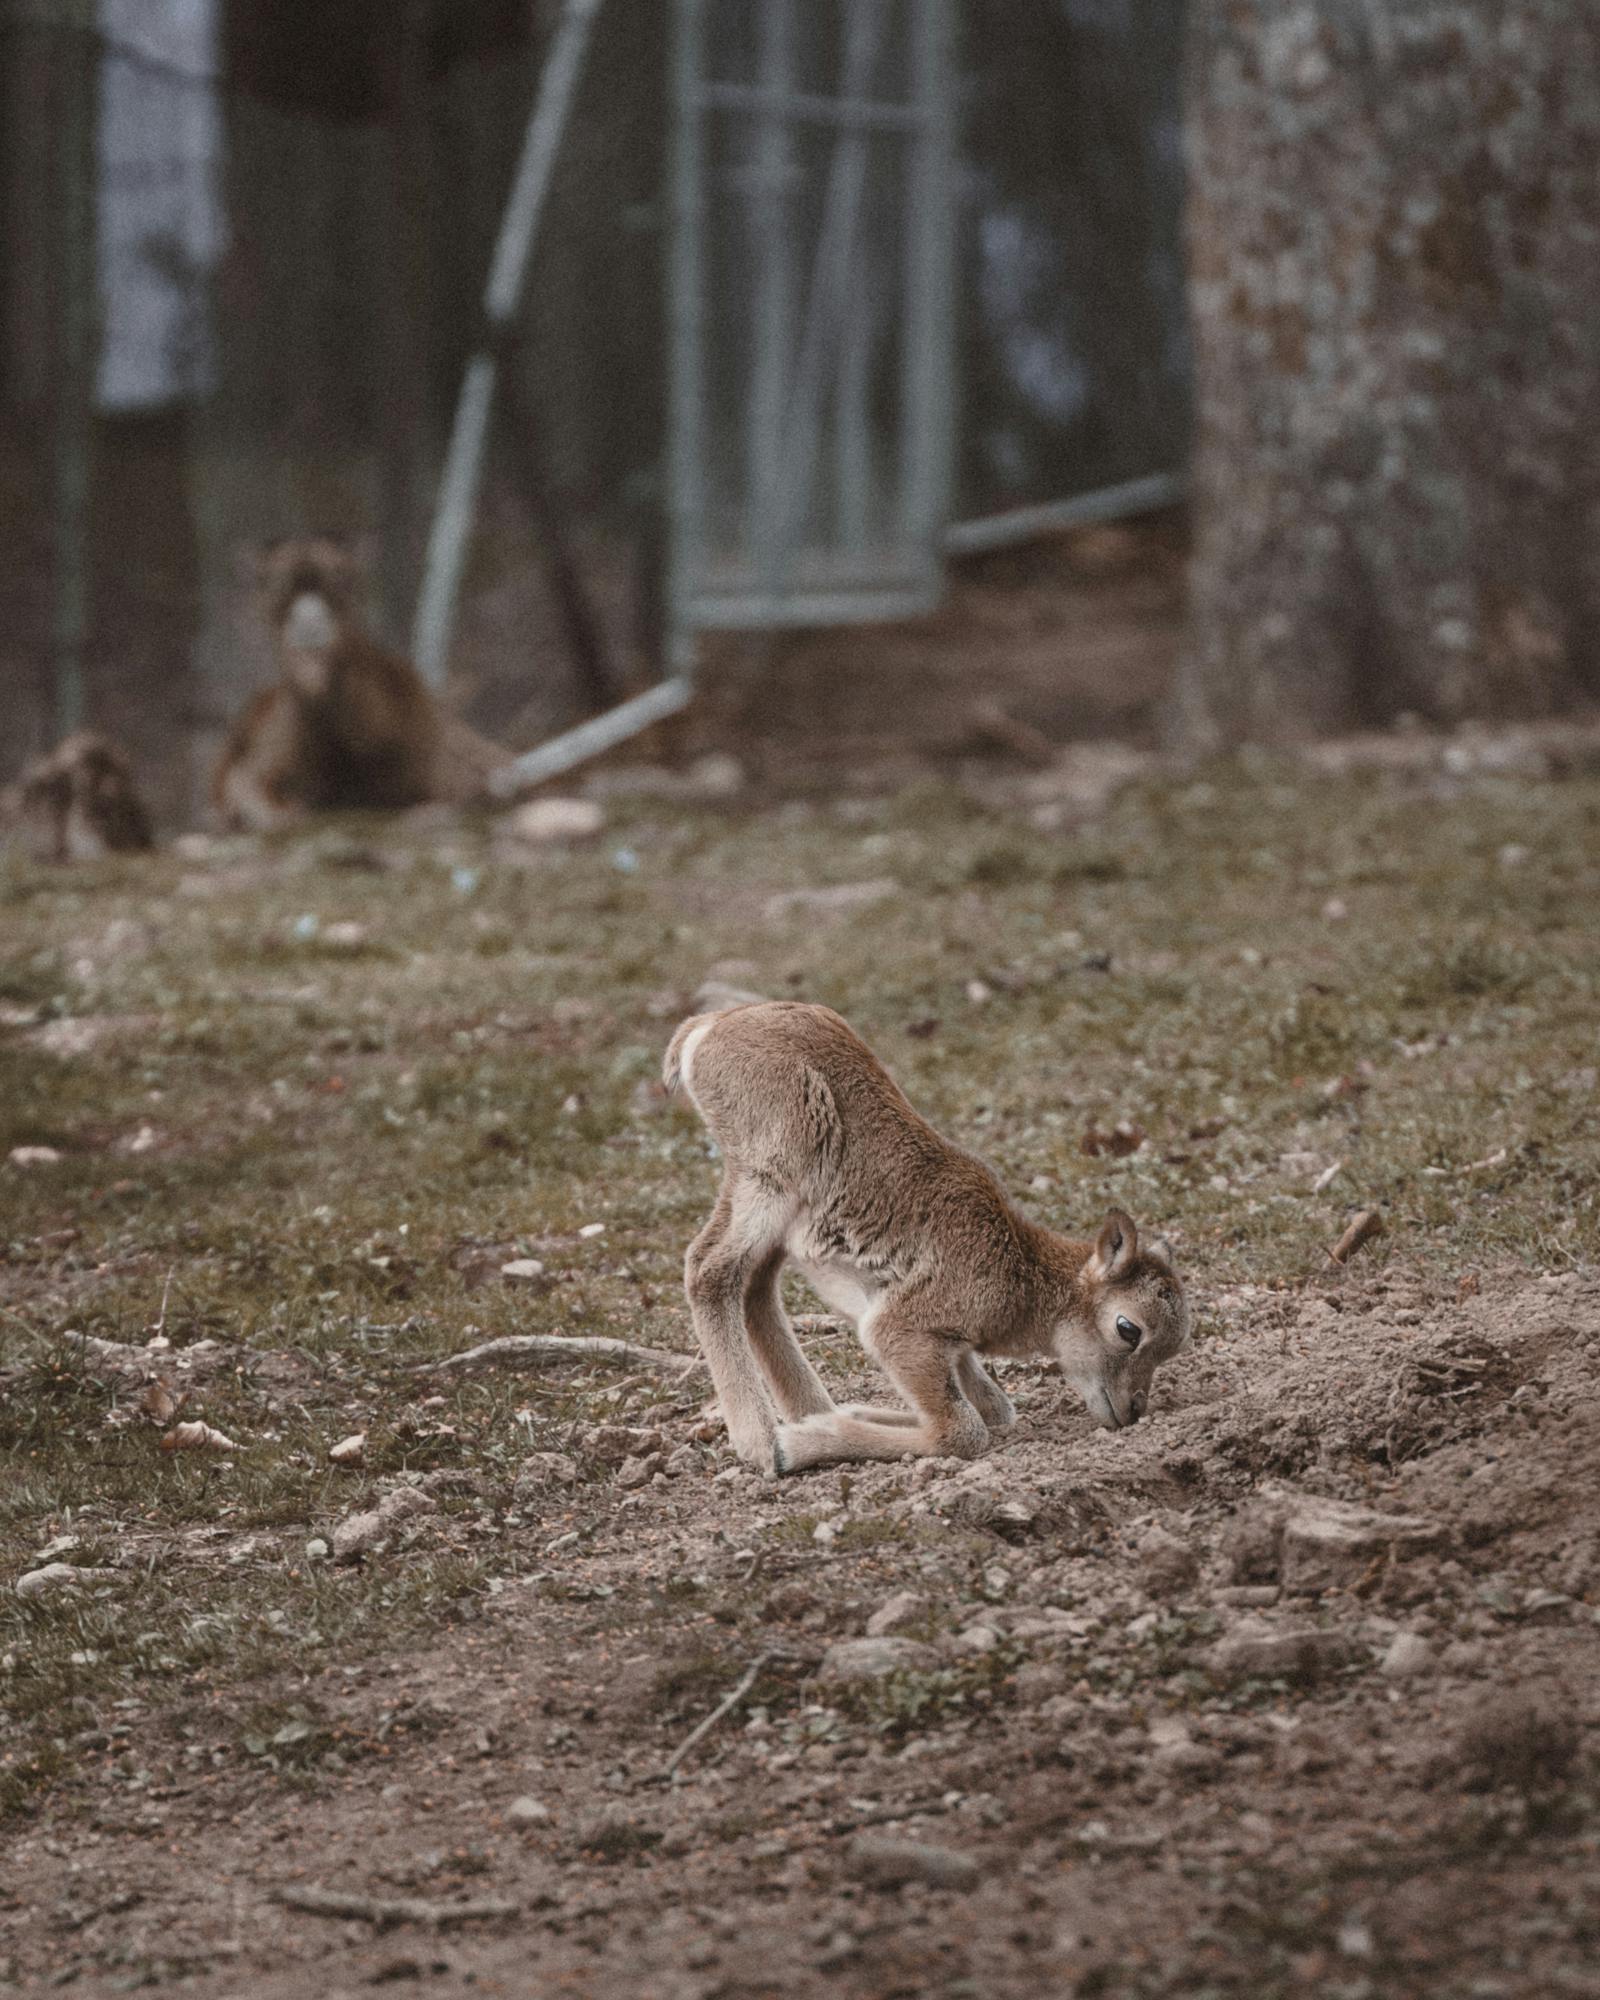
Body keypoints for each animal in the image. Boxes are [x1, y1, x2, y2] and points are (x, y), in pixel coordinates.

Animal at [660, 1008, 1184, 1480]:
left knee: (754, 1285)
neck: (1020, 1275)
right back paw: (762, 1443)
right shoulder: (898, 1331)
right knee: (709, 1269)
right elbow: (964, 1429)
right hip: (770, 1177)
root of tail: (705, 1030)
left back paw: (805, 1412)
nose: (1132, 1410)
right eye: (1128, 1328)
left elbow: (995, 1409)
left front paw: (845, 1415)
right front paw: (795, 1445)